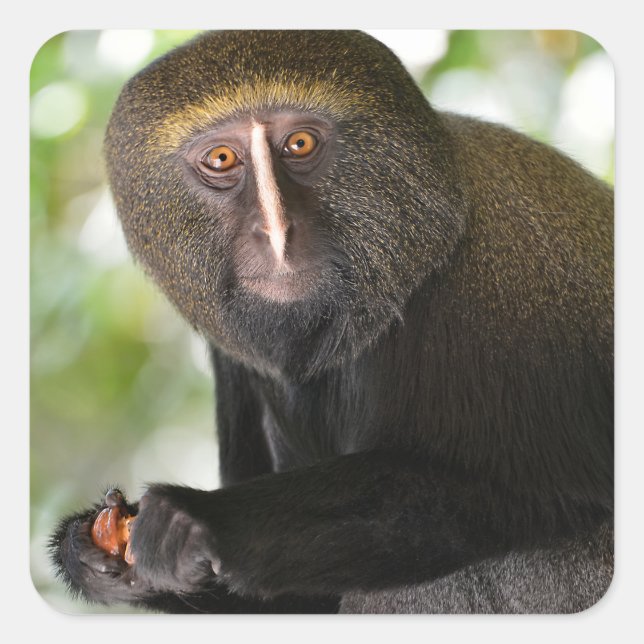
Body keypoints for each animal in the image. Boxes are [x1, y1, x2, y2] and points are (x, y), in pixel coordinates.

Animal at [49, 30, 613, 614]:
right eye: (222, 158)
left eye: (299, 145)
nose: (277, 231)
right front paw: (90, 553)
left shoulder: (496, 284)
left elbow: (522, 493)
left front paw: (203, 520)